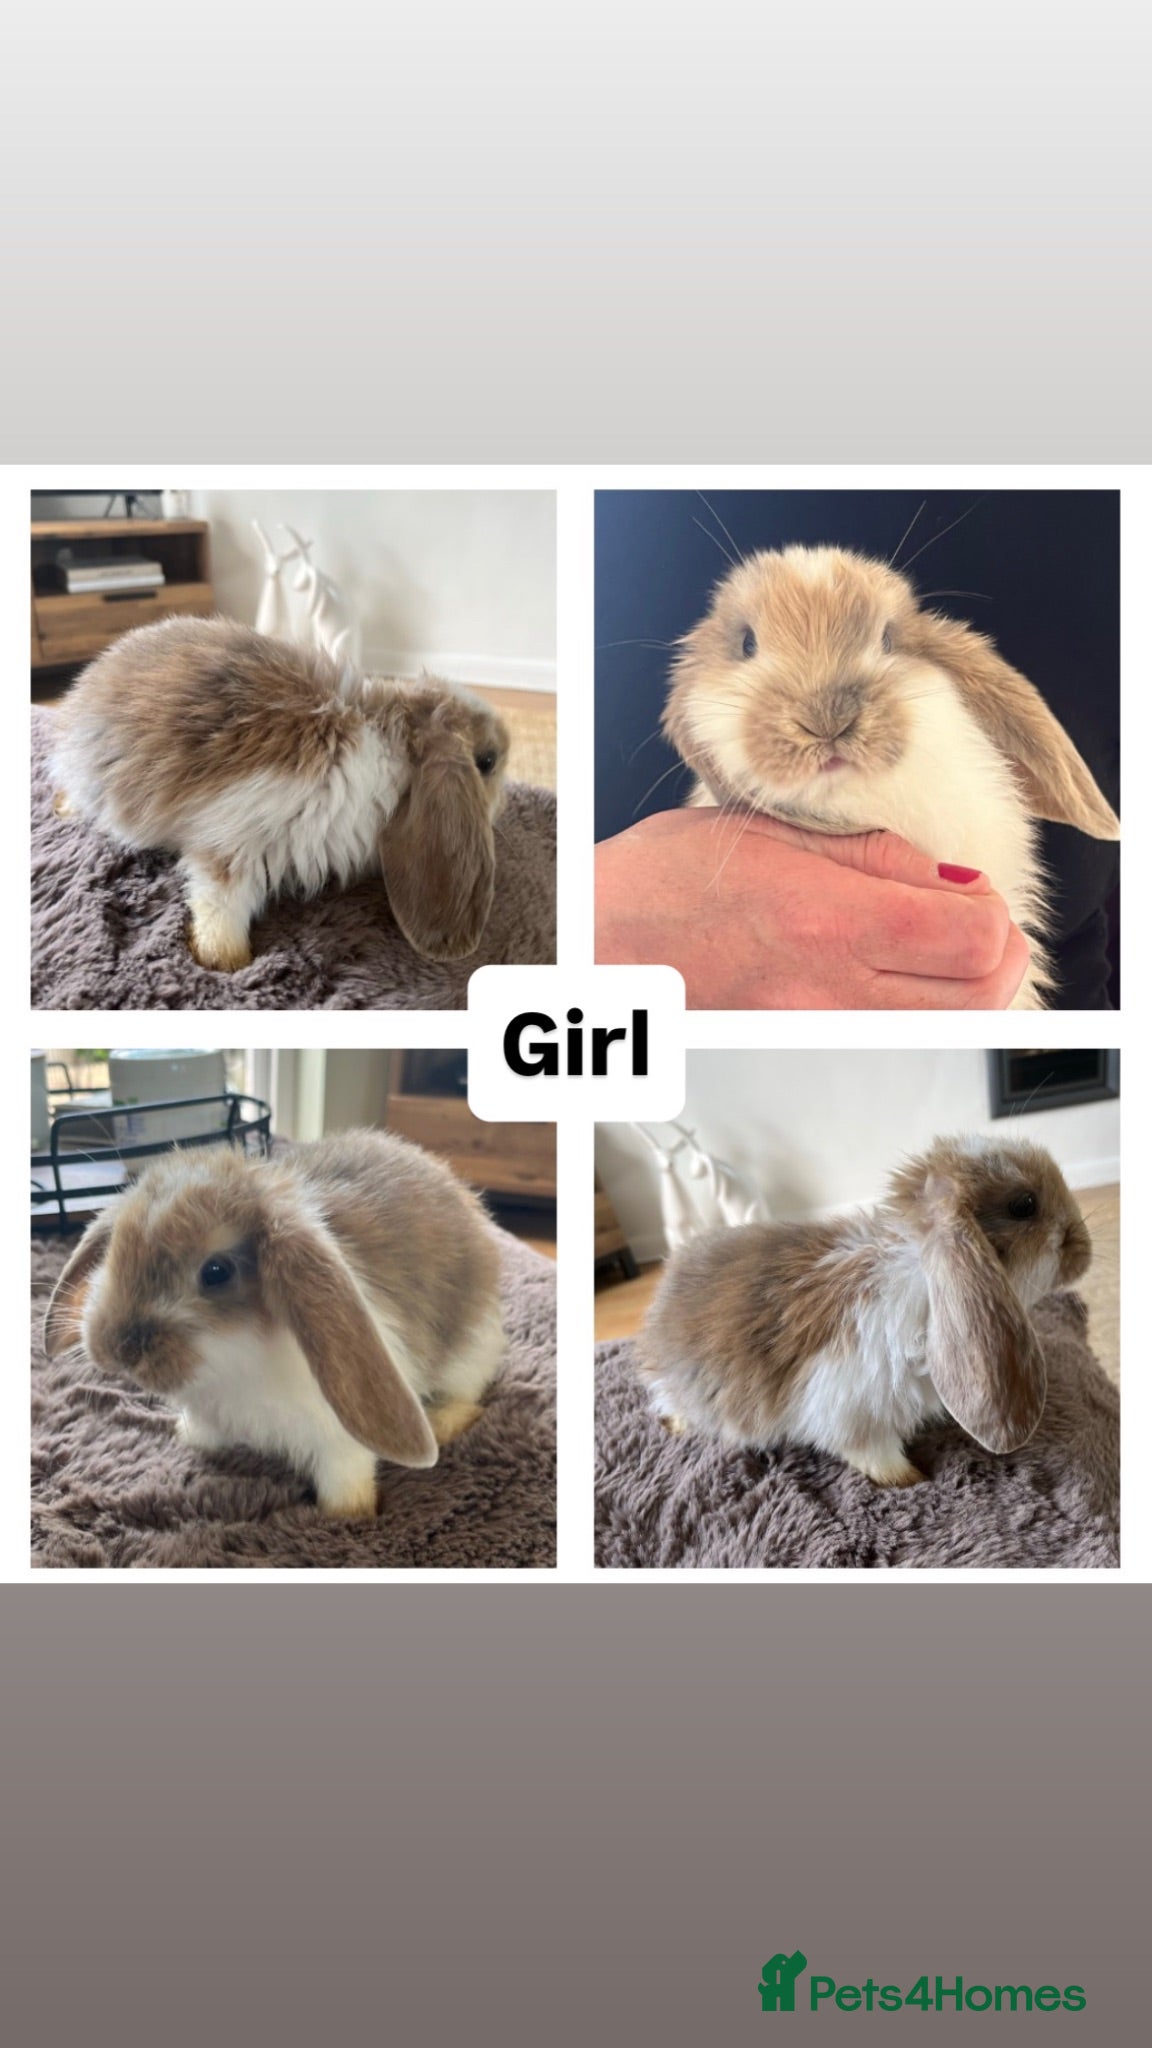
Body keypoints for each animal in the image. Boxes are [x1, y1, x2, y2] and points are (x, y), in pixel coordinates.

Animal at [42, 1129, 506, 1518]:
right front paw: (190, 1438)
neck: (233, 1362)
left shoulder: (339, 1441)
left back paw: (442, 1423)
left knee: (469, 1396)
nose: (118, 1348)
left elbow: (346, 1474)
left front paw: (347, 1515)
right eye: (115, 1247)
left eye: (216, 1272)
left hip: (470, 1351)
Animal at [50, 615, 511, 969]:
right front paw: (226, 961)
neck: (390, 745)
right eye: (486, 761)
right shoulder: (237, 837)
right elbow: (220, 898)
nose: (503, 803)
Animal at [637, 1134, 1092, 1488]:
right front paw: (910, 1479)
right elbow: (872, 1454)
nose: (1085, 1249)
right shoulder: (851, 1413)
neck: (921, 1277)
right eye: (1024, 1204)